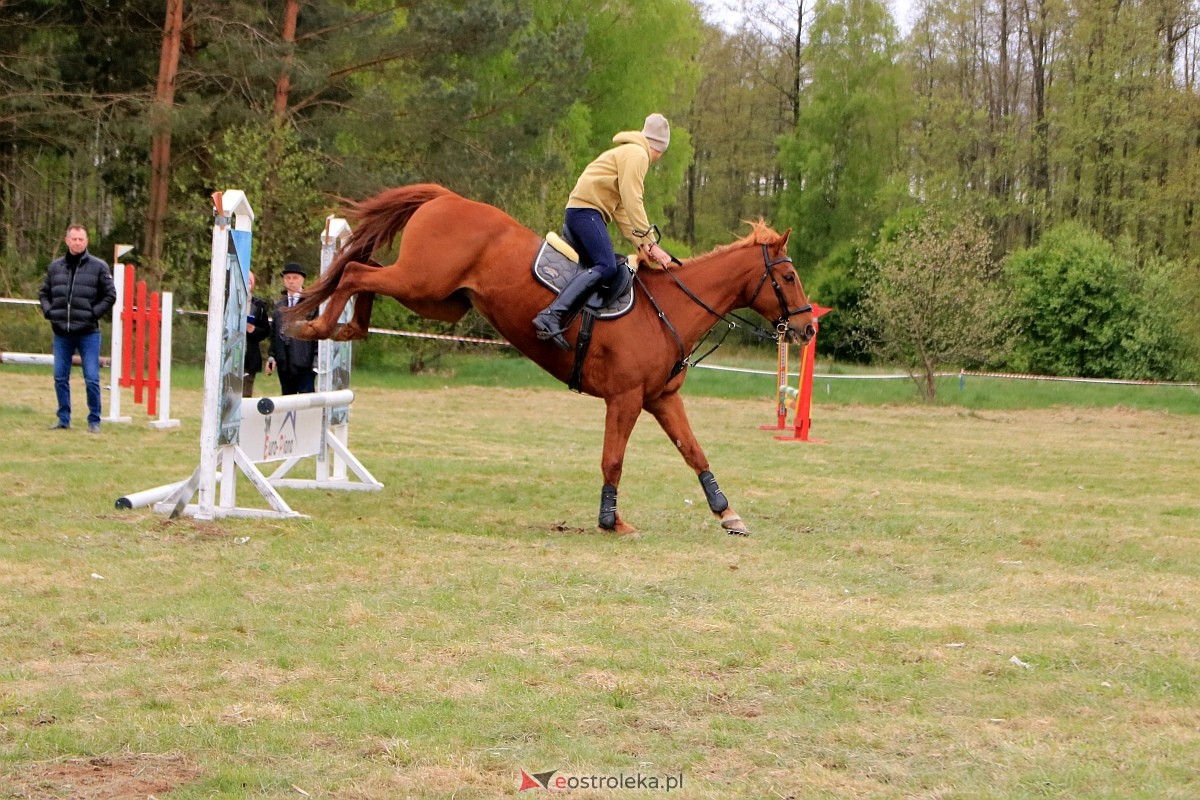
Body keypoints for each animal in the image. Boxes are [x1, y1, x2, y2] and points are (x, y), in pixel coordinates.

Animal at [290, 184, 816, 534]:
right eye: (789, 277)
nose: (808, 328)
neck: (669, 308)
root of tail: (447, 196)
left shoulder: (661, 400)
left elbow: (694, 452)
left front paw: (727, 512)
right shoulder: (625, 399)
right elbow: (613, 460)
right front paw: (611, 520)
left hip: (440, 299)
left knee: (365, 268)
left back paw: (346, 327)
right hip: (423, 281)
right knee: (357, 271)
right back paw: (318, 326)